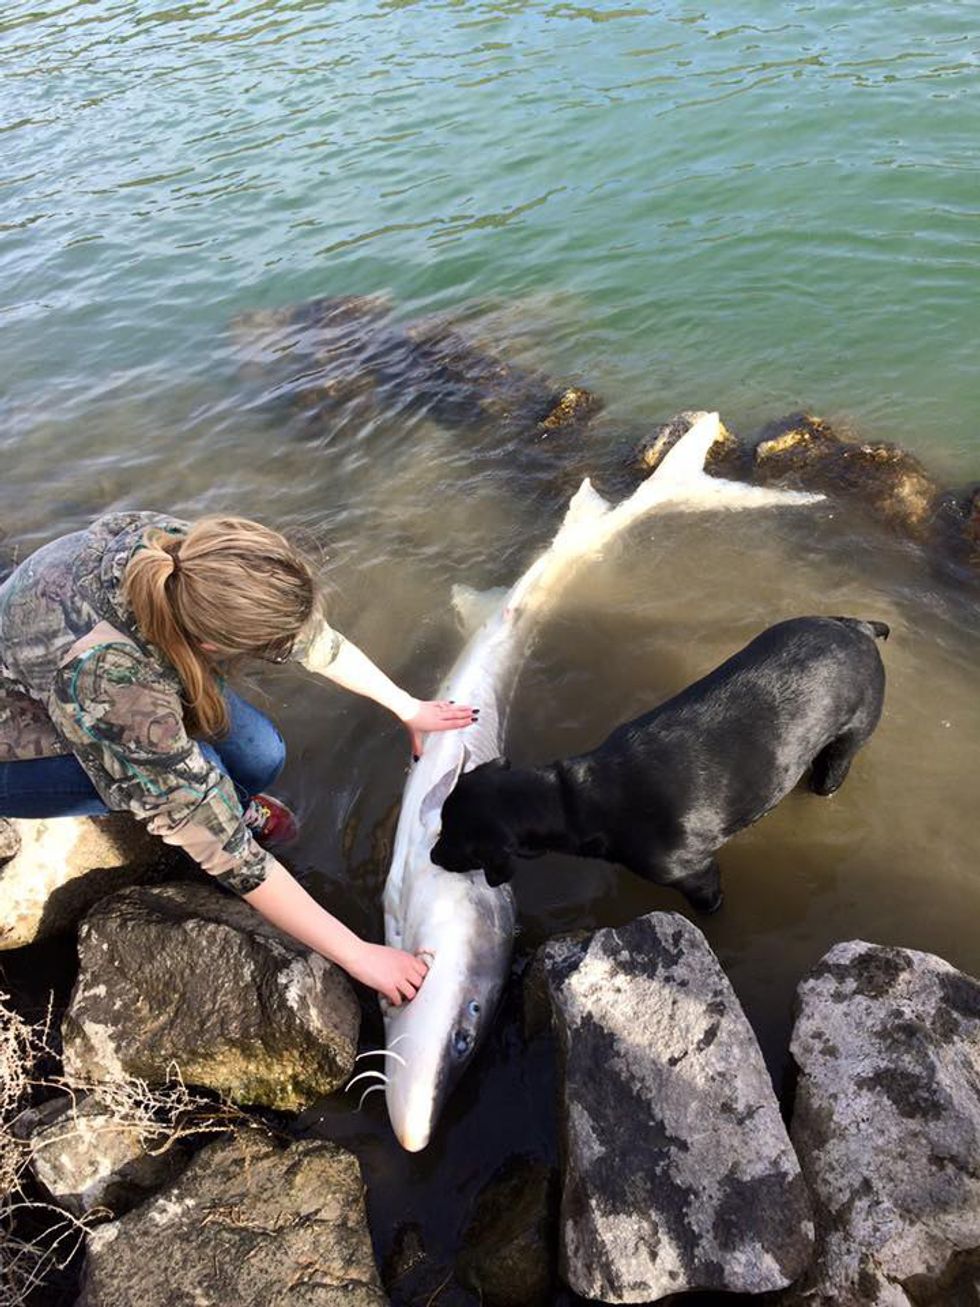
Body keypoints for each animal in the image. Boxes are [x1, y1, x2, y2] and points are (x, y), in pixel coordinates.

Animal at [430, 616, 888, 913]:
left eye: (452, 838)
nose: (433, 856)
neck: (574, 797)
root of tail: (859, 628)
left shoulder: (695, 873)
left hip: (846, 745)